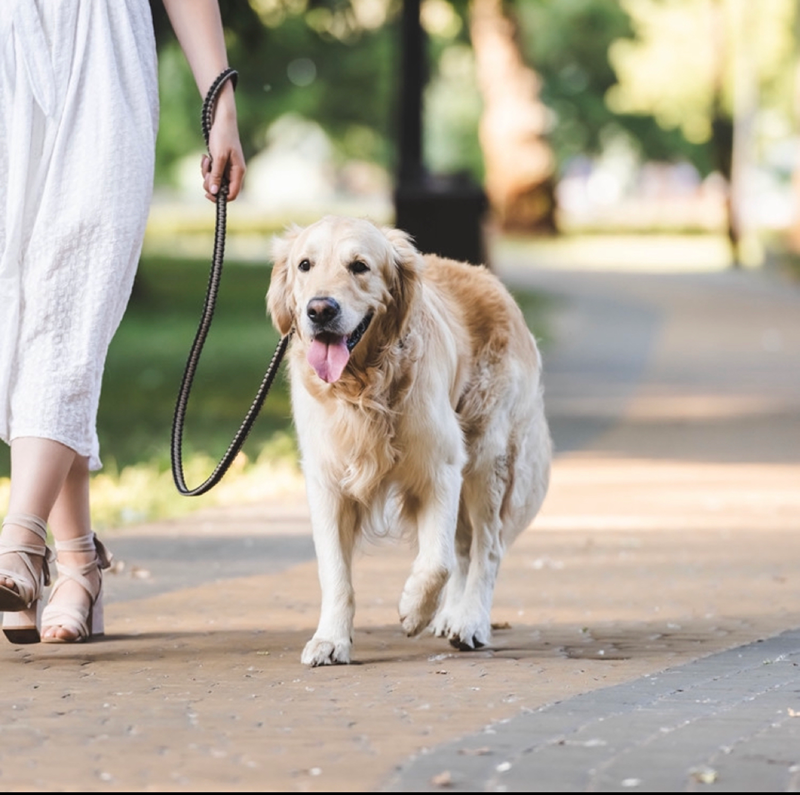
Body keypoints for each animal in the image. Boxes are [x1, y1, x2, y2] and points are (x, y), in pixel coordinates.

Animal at [268, 216, 552, 664]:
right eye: (305, 265)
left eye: (360, 266)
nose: (320, 309)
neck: (363, 389)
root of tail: (491, 280)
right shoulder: (327, 482)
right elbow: (335, 572)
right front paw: (331, 639)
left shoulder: (441, 468)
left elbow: (437, 562)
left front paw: (414, 609)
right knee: (464, 545)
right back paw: (450, 616)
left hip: (487, 457)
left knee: (486, 547)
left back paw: (470, 621)